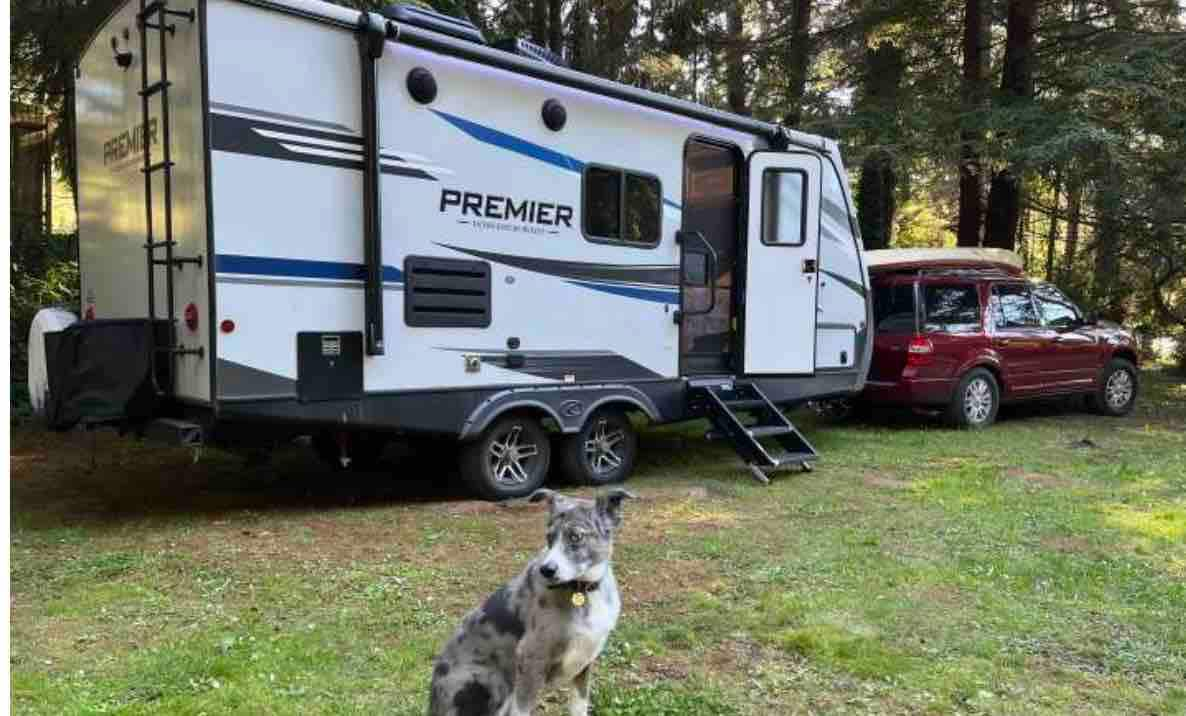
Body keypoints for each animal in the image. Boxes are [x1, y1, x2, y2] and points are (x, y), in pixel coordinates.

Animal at [424, 486, 630, 715]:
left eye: (576, 536)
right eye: (549, 537)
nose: (546, 570)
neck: (582, 590)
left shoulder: (584, 663)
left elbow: (579, 707)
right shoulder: (530, 658)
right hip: (491, 682)